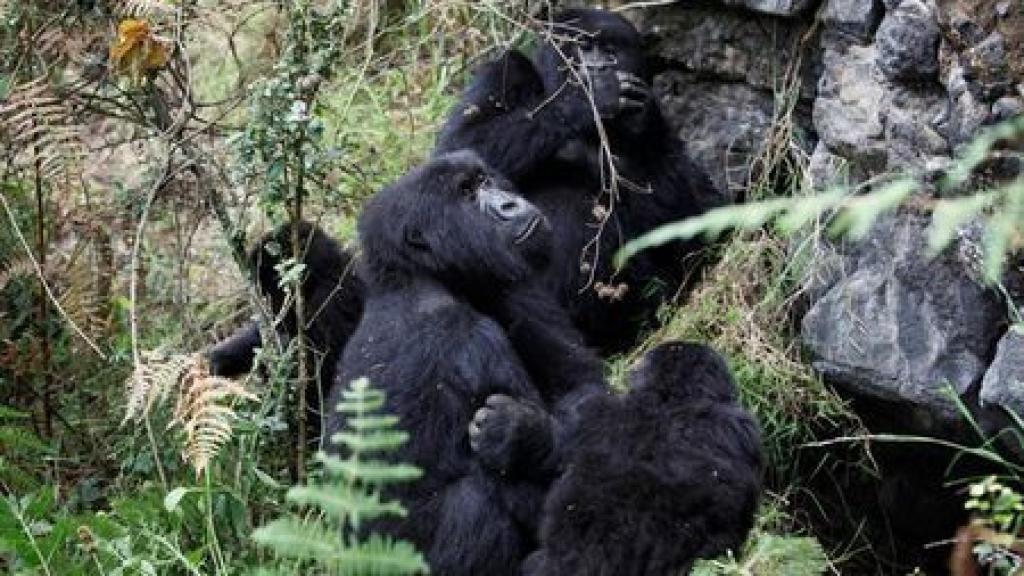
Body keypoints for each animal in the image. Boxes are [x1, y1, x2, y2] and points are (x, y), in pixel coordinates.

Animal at [331, 150, 606, 569]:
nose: (509, 204)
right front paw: (524, 436)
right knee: (476, 502)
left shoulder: (510, 286)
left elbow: (586, 390)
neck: (418, 278)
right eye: (465, 194)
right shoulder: (471, 341)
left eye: (483, 181)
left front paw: (520, 433)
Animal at [436, 6, 724, 352]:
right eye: (583, 46)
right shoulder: (504, 69)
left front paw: (640, 124)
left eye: (611, 51)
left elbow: (693, 219)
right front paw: (589, 99)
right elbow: (462, 149)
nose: (599, 67)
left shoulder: (666, 130)